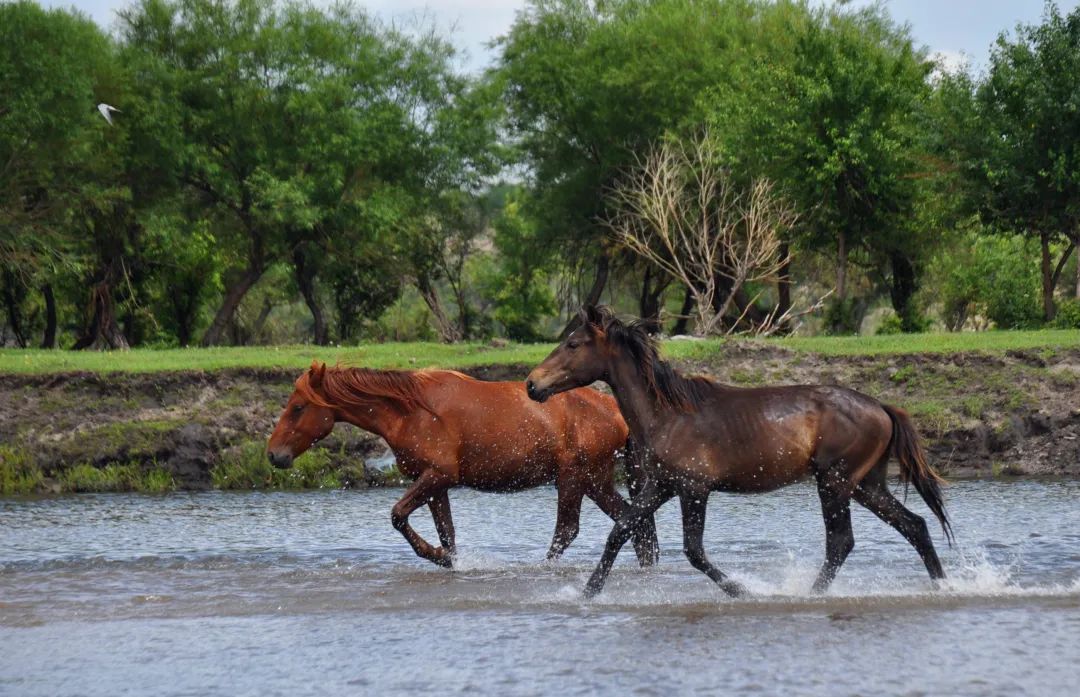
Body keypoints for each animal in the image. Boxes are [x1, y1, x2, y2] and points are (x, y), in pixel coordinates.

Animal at [270, 360, 656, 566]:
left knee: (568, 530)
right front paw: (448, 559)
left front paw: (437, 555)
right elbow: (448, 533)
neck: (411, 411)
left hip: (574, 478)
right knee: (631, 522)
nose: (274, 454)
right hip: (595, 480)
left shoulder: (438, 476)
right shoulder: (434, 485)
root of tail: (616, 411)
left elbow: (398, 515)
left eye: (298, 406)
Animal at [524, 306, 954, 596]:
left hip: (835, 482)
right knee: (915, 525)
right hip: (866, 485)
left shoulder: (694, 489)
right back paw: (943, 585)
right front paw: (587, 593)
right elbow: (620, 532)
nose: (531, 384)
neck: (667, 414)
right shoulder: (662, 485)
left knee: (841, 542)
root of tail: (881, 406)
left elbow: (694, 551)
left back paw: (809, 594)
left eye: (573, 343)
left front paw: (740, 589)